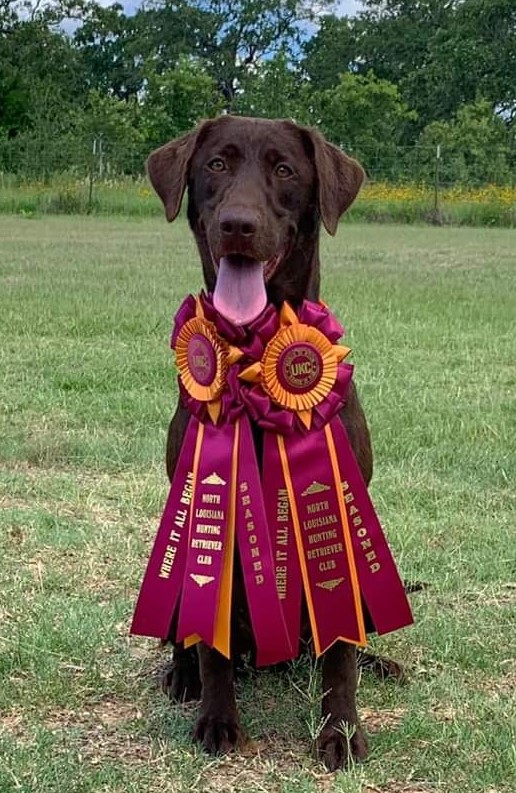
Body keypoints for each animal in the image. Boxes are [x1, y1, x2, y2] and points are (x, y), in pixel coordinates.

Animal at [146, 114, 378, 772]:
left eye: (283, 169)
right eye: (217, 164)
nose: (238, 224)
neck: (254, 359)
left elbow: (340, 655)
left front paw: (340, 730)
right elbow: (212, 646)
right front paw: (218, 720)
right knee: (187, 639)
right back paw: (182, 677)